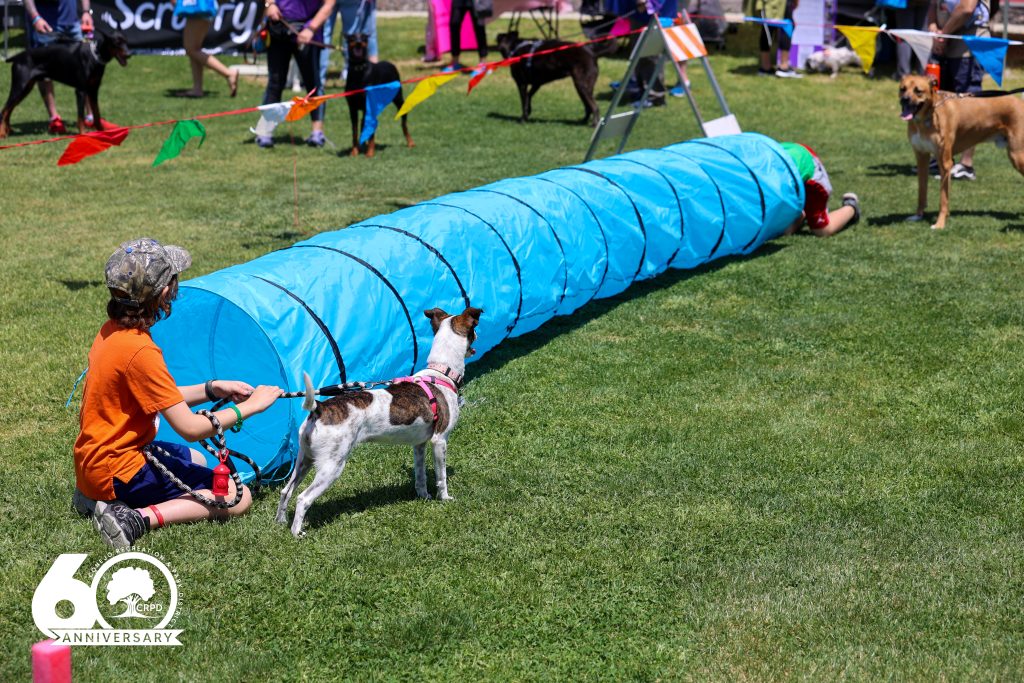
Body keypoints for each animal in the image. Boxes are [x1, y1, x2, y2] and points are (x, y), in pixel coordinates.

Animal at [0, 27, 130, 139]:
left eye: (126, 41)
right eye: (117, 42)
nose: (129, 54)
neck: (94, 56)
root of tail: (18, 56)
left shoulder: (93, 90)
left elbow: (96, 113)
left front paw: (102, 132)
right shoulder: (81, 90)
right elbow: (80, 116)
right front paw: (83, 134)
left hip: (26, 88)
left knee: (9, 109)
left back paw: (8, 130)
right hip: (20, 86)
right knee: (5, 110)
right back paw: (2, 133)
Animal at [276, 307, 483, 536]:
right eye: (473, 331)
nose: (478, 336)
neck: (441, 372)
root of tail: (319, 409)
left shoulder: (419, 444)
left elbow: (420, 476)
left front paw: (424, 497)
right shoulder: (439, 440)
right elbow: (441, 476)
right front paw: (444, 498)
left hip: (305, 460)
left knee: (286, 491)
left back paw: (280, 522)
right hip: (332, 466)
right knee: (303, 498)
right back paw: (297, 533)